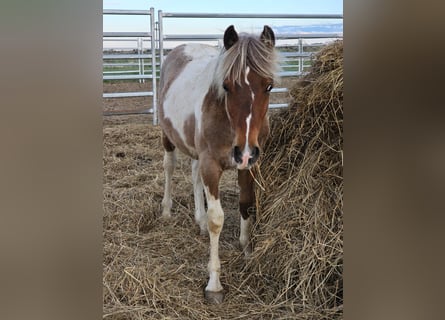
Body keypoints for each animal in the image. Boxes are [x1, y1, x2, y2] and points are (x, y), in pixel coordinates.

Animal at [158, 25, 278, 302]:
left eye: (269, 86)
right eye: (226, 85)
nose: (244, 151)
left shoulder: (249, 165)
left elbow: (246, 204)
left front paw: (247, 250)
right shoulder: (211, 165)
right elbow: (217, 219)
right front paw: (214, 284)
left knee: (194, 175)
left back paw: (198, 220)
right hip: (168, 136)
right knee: (169, 167)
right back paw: (167, 211)